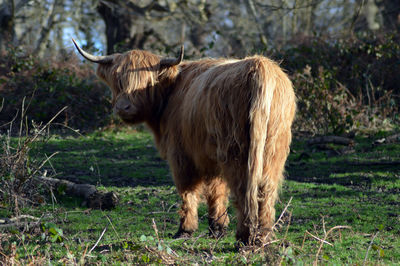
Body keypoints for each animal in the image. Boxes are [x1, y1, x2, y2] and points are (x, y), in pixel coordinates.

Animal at [72, 38, 296, 244]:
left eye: (145, 82)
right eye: (117, 80)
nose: (123, 107)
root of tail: (260, 66)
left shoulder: (181, 153)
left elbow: (188, 191)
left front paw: (185, 230)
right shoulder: (209, 156)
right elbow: (215, 191)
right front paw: (217, 227)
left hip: (237, 150)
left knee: (243, 188)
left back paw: (244, 237)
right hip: (272, 150)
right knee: (266, 188)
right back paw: (263, 235)